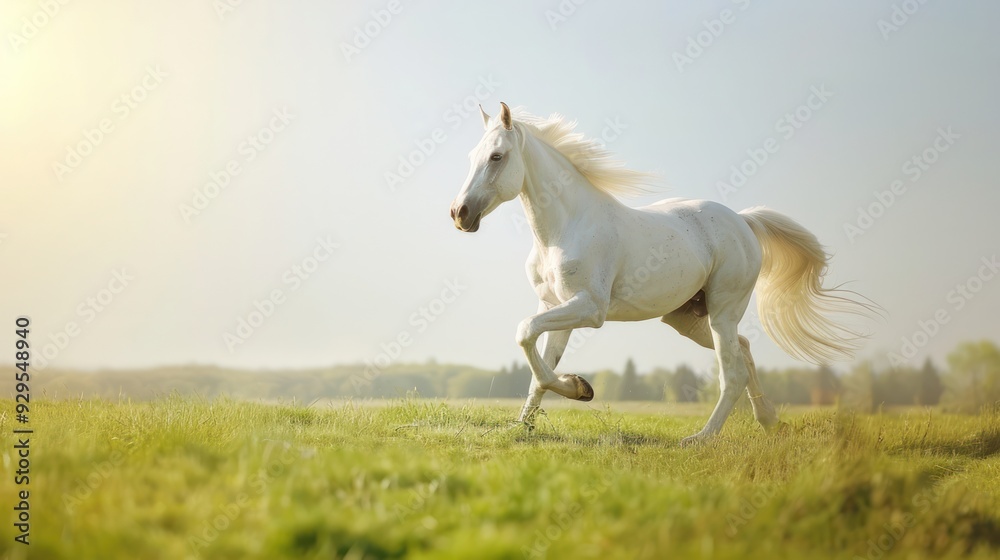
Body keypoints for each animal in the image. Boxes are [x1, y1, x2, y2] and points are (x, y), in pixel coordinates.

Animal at [449, 102, 874, 445]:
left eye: (497, 156)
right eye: (471, 155)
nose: (459, 214)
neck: (564, 228)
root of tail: (744, 221)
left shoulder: (589, 308)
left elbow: (524, 334)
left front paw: (581, 389)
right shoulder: (554, 305)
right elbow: (539, 366)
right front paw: (527, 424)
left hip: (722, 311)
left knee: (732, 372)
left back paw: (700, 438)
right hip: (688, 319)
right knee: (745, 350)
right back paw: (768, 421)